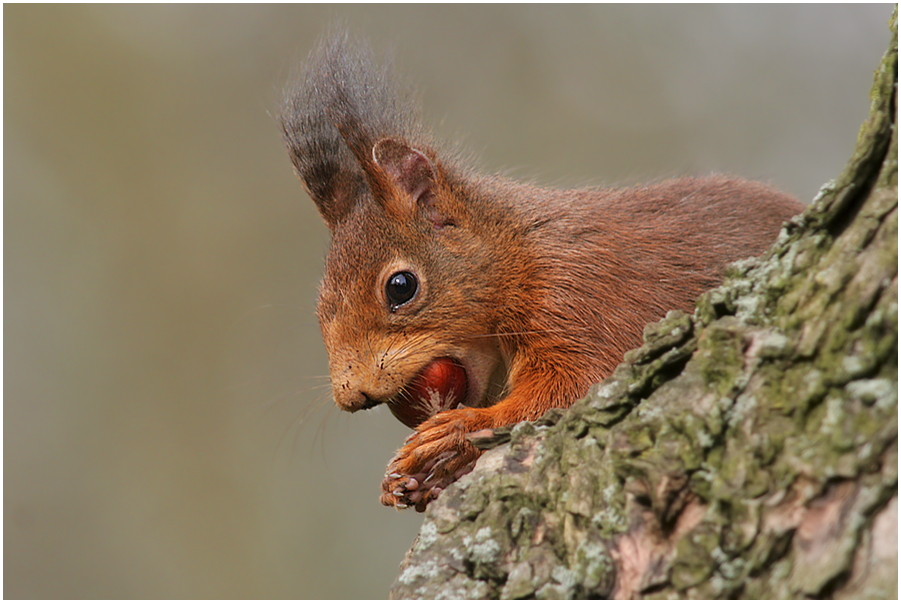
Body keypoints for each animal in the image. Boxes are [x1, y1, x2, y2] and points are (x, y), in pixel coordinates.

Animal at [282, 35, 800, 512]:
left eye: (401, 287)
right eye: (319, 306)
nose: (352, 394)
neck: (516, 251)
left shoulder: (582, 297)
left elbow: (572, 386)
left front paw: (458, 431)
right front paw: (403, 483)